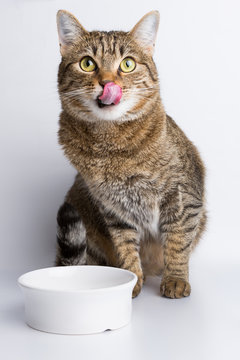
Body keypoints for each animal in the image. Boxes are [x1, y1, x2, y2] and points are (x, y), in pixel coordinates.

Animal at [54, 10, 206, 298]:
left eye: (127, 65)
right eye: (87, 64)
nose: (108, 83)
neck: (111, 146)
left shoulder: (183, 197)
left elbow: (178, 241)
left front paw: (176, 279)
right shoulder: (115, 210)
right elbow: (125, 247)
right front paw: (132, 280)